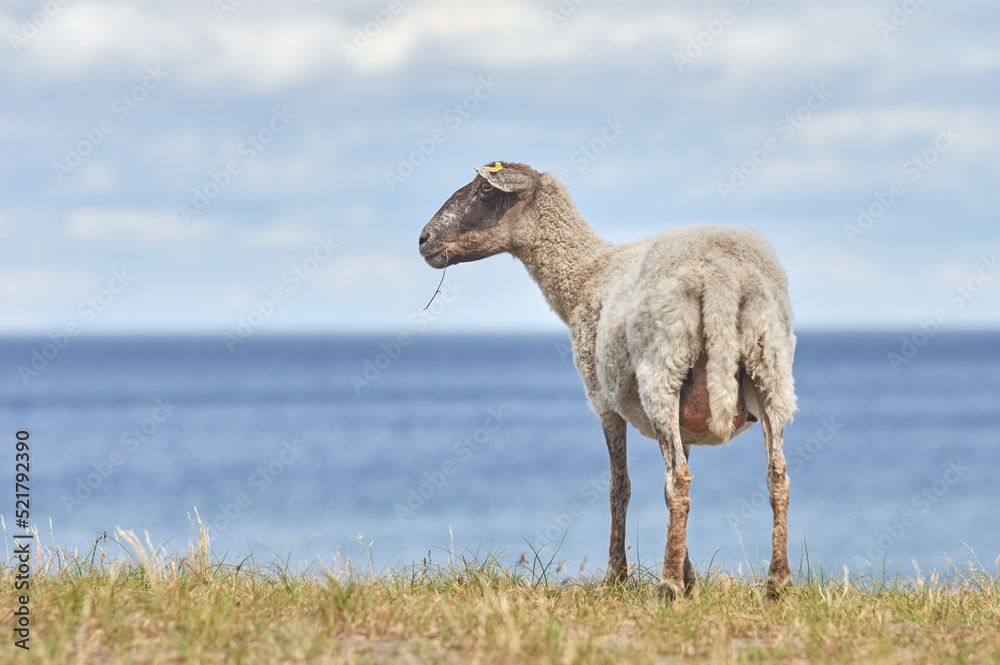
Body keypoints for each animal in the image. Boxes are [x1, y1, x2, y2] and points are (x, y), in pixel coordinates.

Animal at [418, 161, 796, 599]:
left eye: (484, 188)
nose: (424, 239)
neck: (583, 271)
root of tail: (722, 277)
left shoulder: (602, 400)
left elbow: (620, 487)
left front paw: (619, 577)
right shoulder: (688, 415)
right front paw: (691, 579)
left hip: (663, 367)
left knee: (678, 480)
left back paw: (667, 585)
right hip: (769, 368)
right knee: (776, 476)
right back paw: (777, 582)